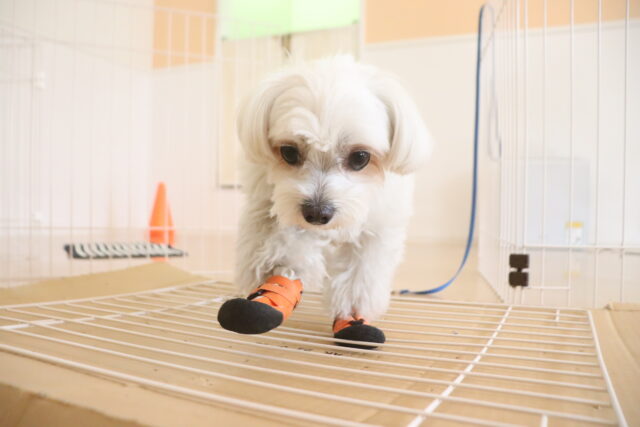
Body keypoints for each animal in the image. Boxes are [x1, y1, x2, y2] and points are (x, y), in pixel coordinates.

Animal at [218, 55, 431, 348]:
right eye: (289, 152)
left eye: (360, 157)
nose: (318, 214)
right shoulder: (275, 210)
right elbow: (285, 250)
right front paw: (272, 291)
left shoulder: (376, 229)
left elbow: (358, 279)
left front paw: (352, 318)